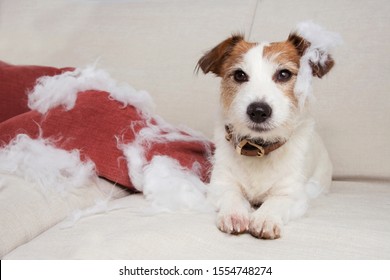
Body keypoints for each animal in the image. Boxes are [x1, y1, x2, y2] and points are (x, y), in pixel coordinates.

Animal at [197, 23, 340, 240]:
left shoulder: (292, 194)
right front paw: (235, 214)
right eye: (239, 75)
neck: (258, 148)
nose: (258, 110)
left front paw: (265, 217)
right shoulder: (221, 184)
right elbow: (232, 195)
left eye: (284, 74)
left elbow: (276, 201)